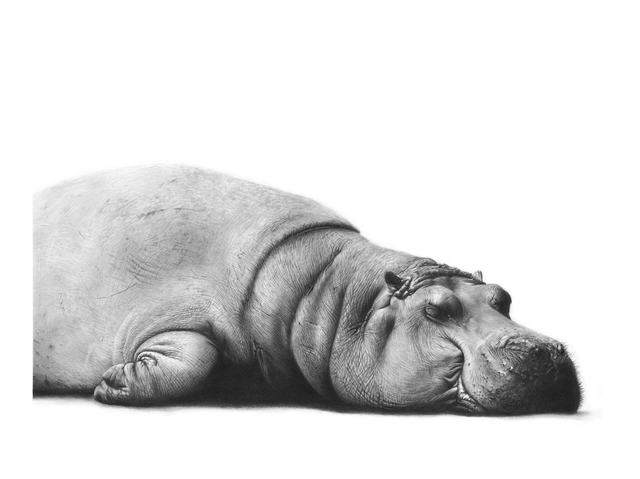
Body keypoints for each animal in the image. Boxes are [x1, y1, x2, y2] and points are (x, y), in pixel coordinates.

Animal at [33, 165, 581, 414]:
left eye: (502, 297)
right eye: (436, 310)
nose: (547, 349)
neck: (330, 295)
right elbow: (195, 355)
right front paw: (111, 383)